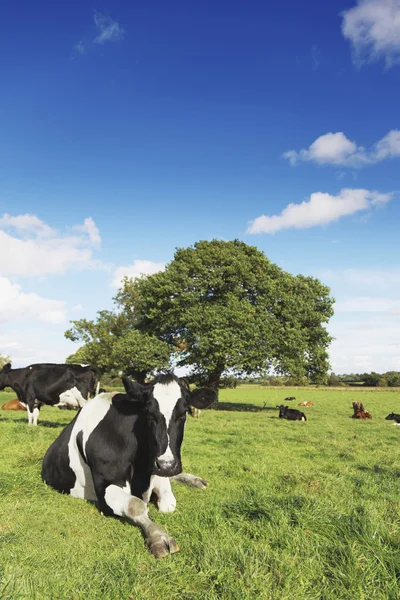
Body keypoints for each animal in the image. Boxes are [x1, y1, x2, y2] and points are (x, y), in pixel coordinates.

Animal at [42, 376, 217, 556]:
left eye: (183, 414)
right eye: (149, 414)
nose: (166, 465)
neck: (141, 470)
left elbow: (168, 503)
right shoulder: (105, 488)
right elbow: (136, 505)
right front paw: (159, 537)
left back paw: (195, 480)